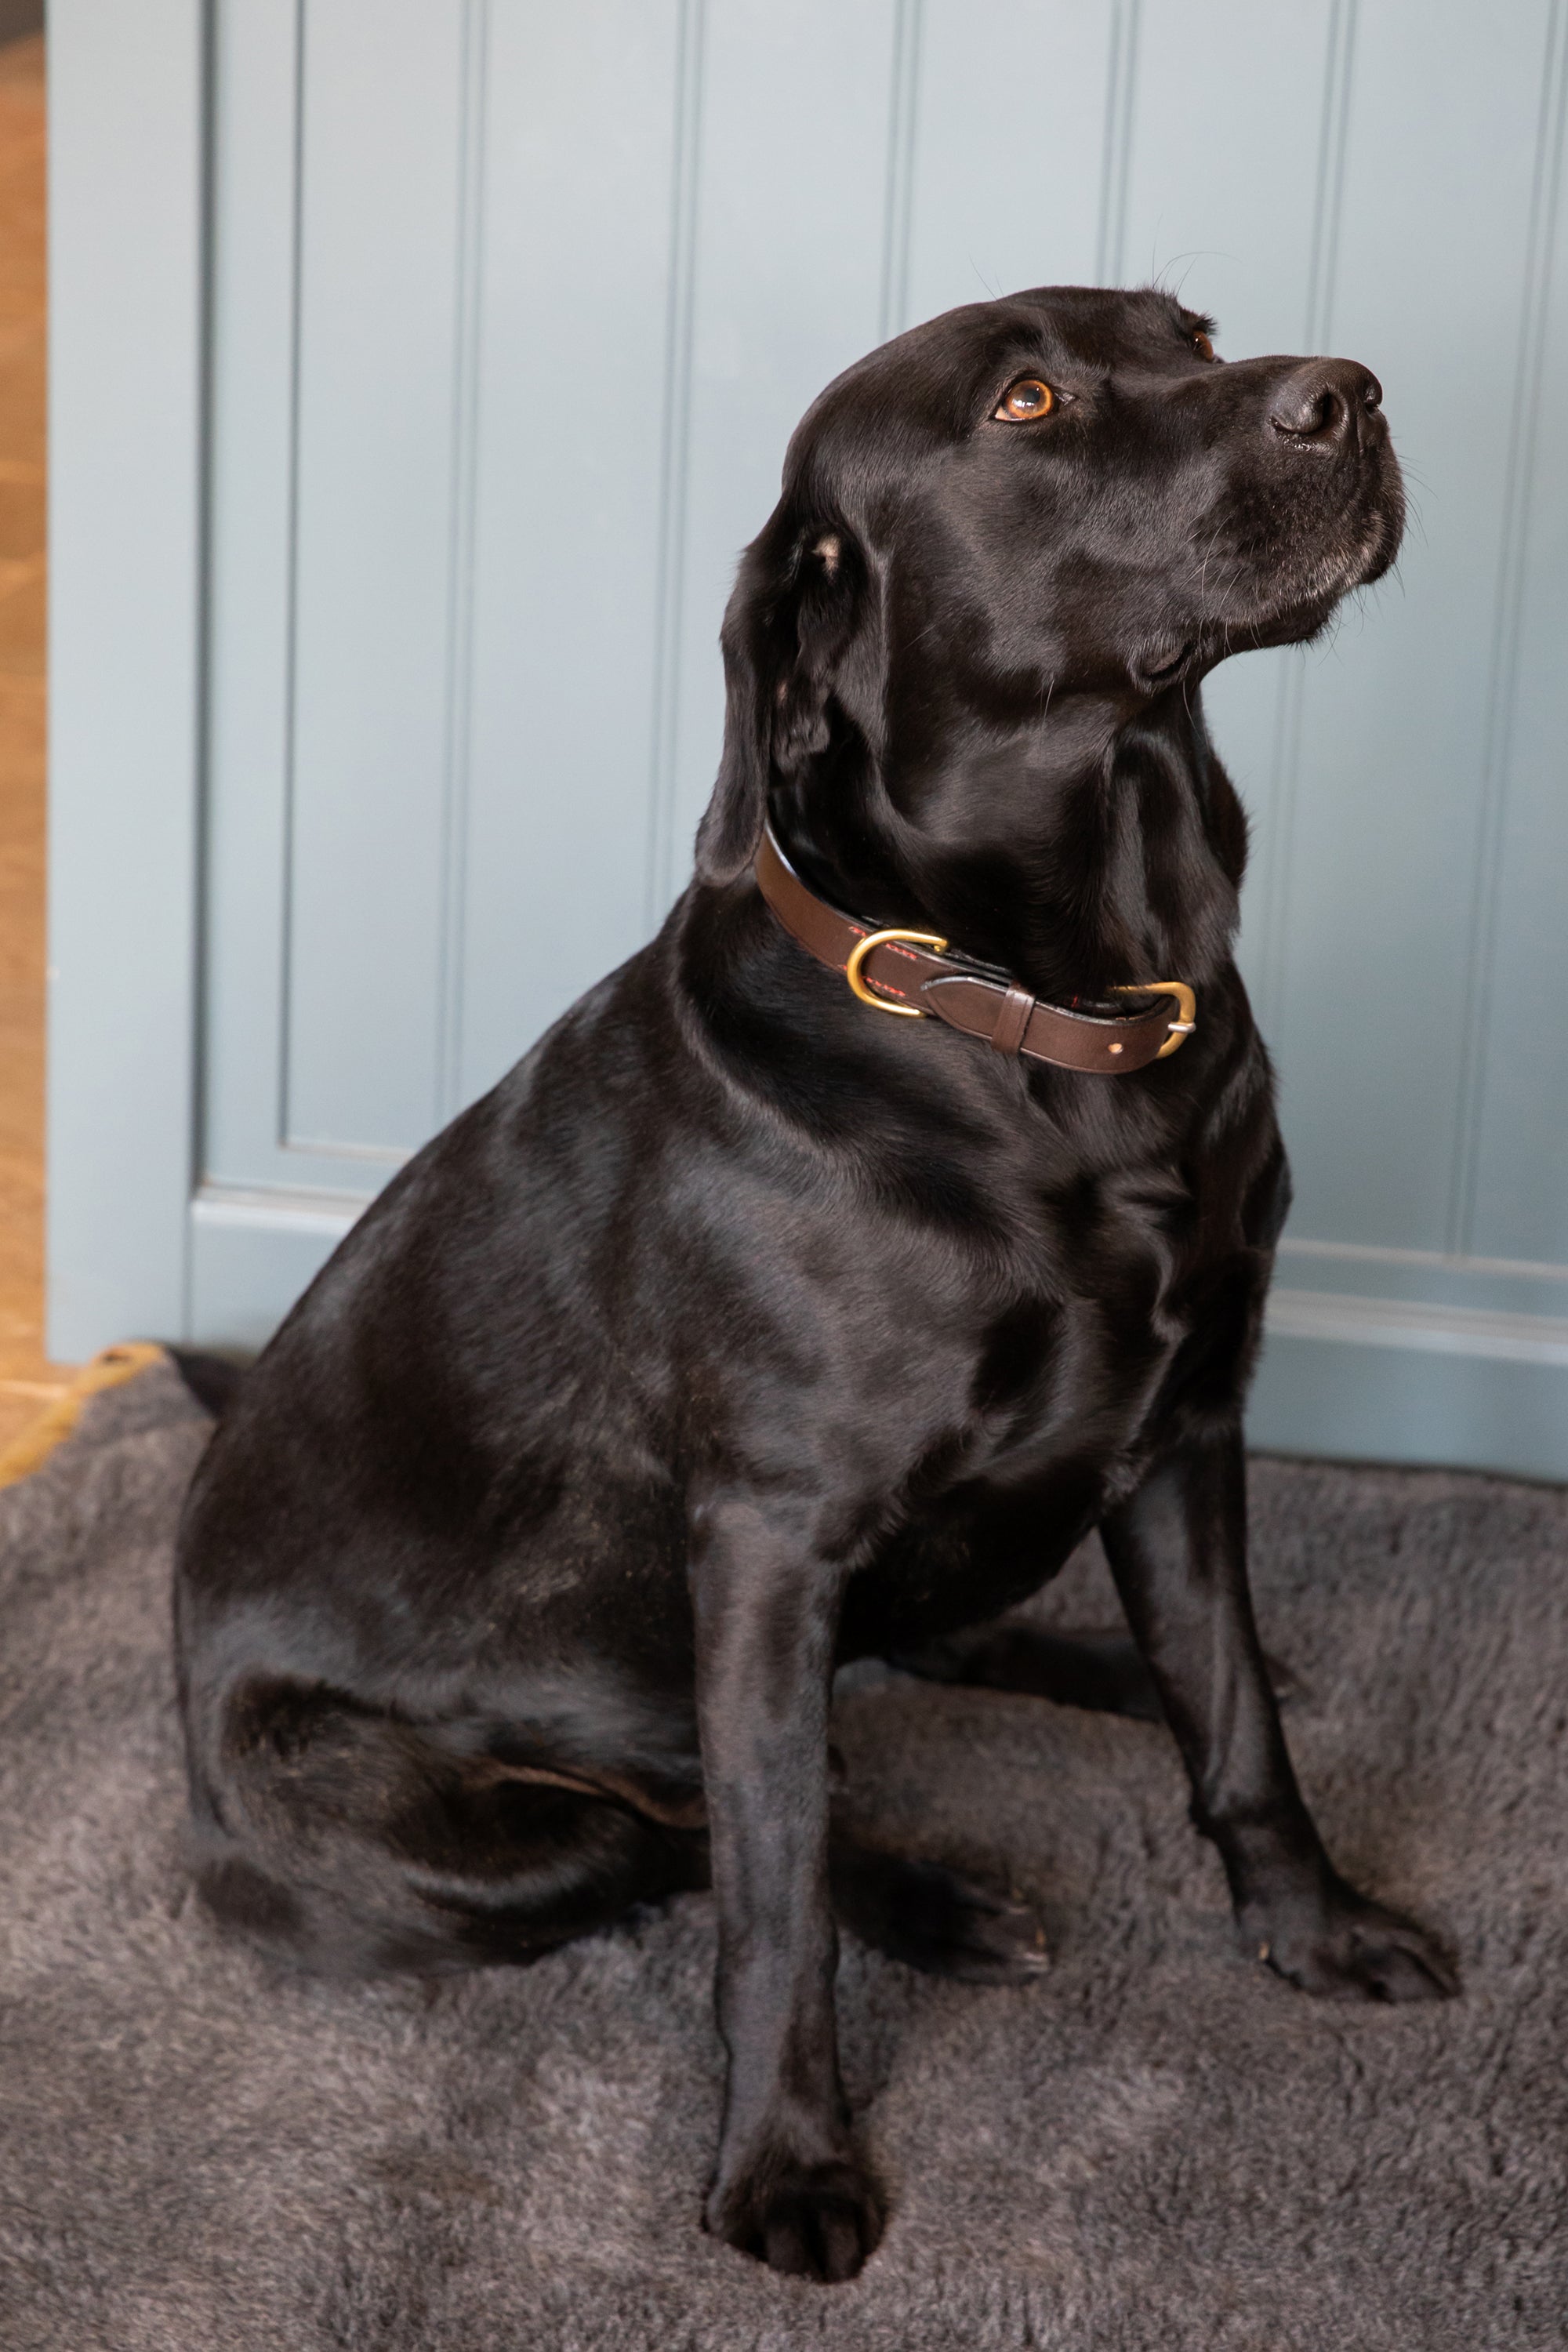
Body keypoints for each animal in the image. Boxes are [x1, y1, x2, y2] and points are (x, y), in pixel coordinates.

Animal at [175, 289, 1457, 2277]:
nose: (1353, 396)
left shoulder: (1191, 1427)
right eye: (1027, 399)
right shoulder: (772, 1539)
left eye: (1193, 331)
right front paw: (784, 2160)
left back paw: (1077, 1661)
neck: (1045, 1021)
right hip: (446, 1822)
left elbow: (1234, 1719)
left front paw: (1311, 1929)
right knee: (679, 1828)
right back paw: (926, 1900)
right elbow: (768, 1887)